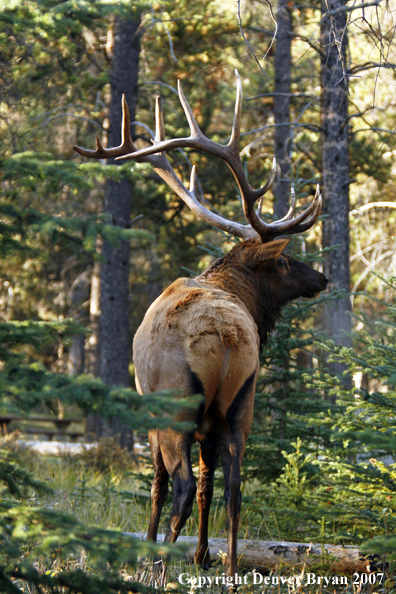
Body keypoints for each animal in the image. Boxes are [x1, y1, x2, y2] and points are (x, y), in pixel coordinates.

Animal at [74, 71, 328, 580]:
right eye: (286, 261)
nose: (322, 277)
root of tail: (228, 338)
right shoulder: (216, 419)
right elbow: (213, 484)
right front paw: (202, 555)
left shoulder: (148, 410)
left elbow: (156, 486)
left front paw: (154, 548)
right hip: (240, 403)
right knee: (233, 488)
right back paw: (226, 570)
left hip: (176, 405)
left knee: (182, 486)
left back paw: (157, 567)